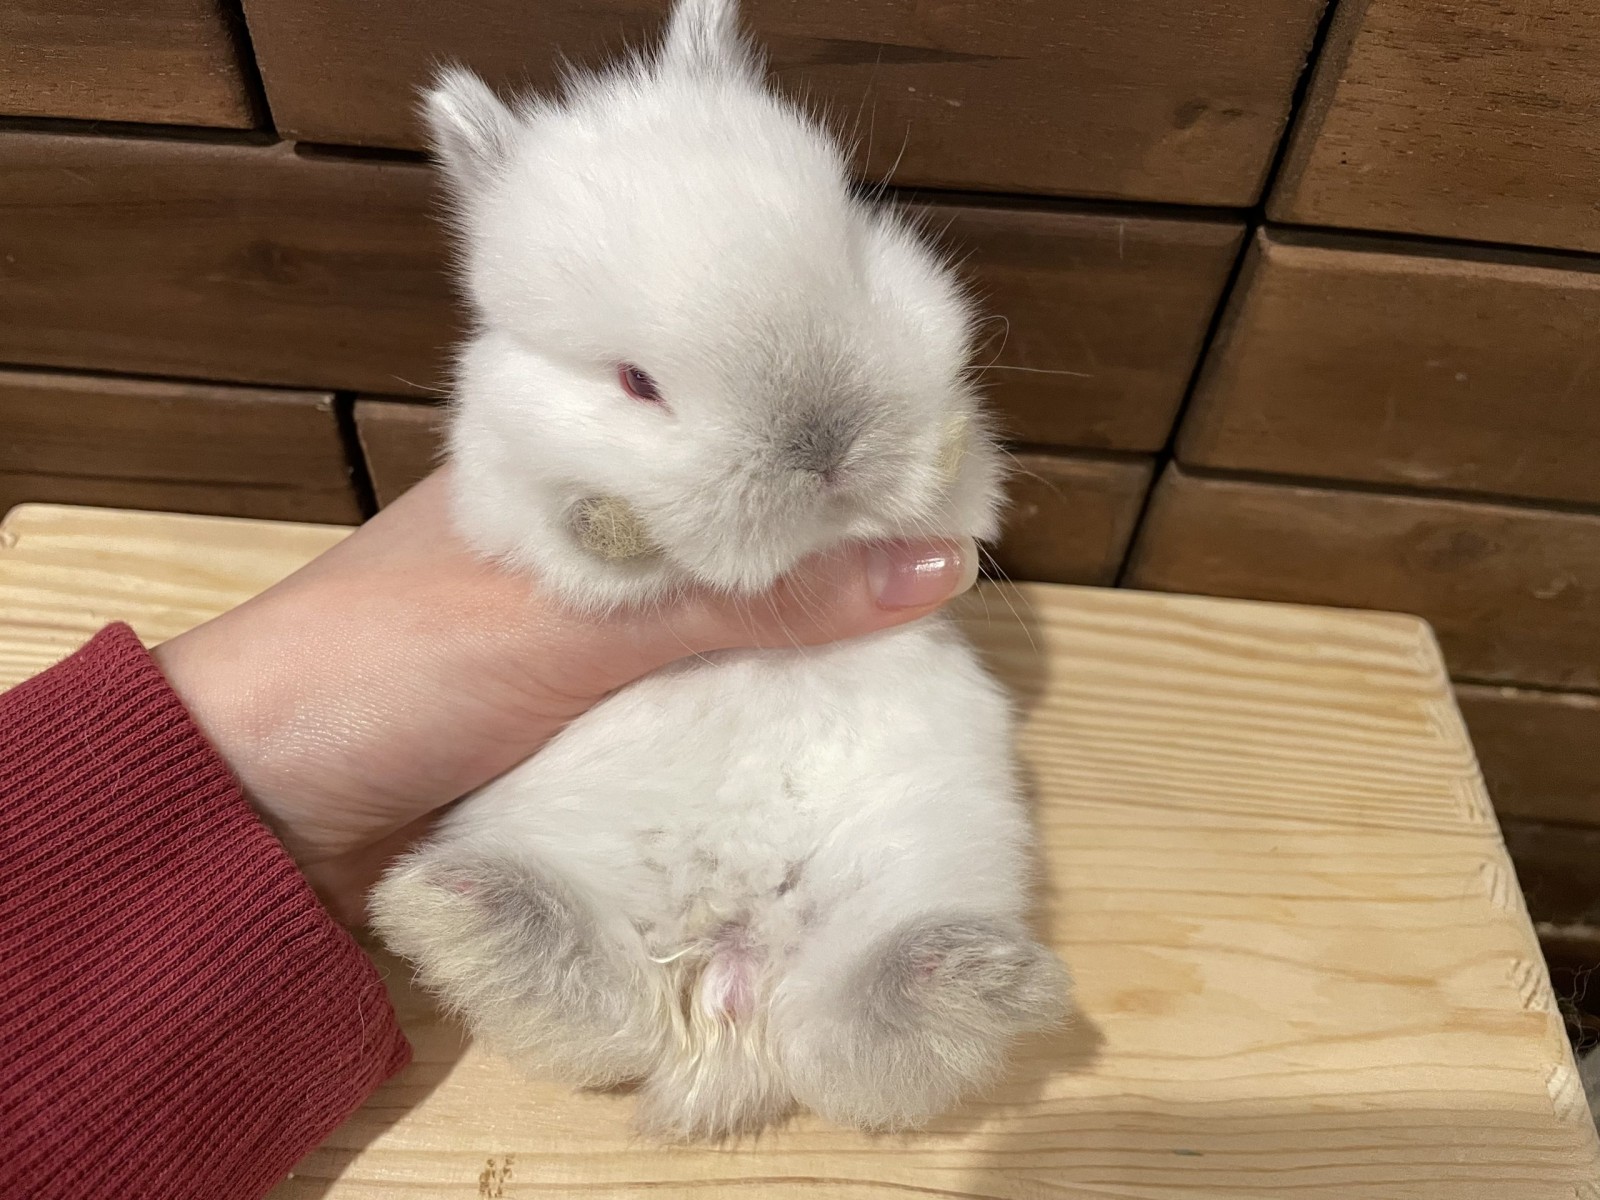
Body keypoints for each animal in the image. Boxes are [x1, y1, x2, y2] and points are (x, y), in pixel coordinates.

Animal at [368, 0, 1070, 1142]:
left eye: (855, 258)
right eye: (633, 381)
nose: (825, 444)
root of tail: (728, 981)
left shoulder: (961, 495)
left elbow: (961, 488)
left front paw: (936, 451)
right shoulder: (503, 496)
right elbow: (578, 537)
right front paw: (614, 520)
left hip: (911, 868)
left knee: (851, 1042)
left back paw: (981, 977)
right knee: (606, 1004)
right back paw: (453, 909)